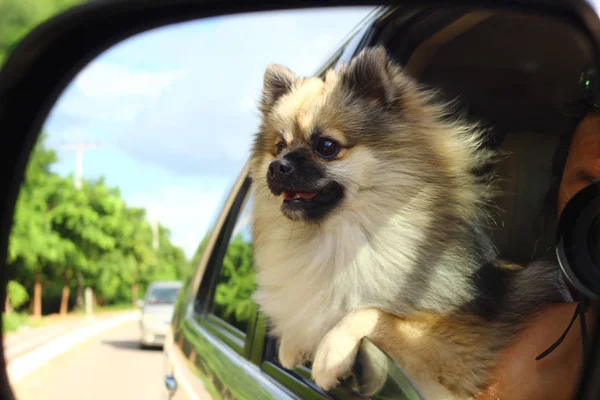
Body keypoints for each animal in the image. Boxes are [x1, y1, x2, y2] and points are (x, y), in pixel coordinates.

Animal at [246, 45, 564, 398]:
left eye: (326, 146)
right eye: (278, 146)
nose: (277, 166)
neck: (334, 242)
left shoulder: (460, 348)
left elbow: (370, 312)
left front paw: (329, 355)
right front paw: (291, 345)